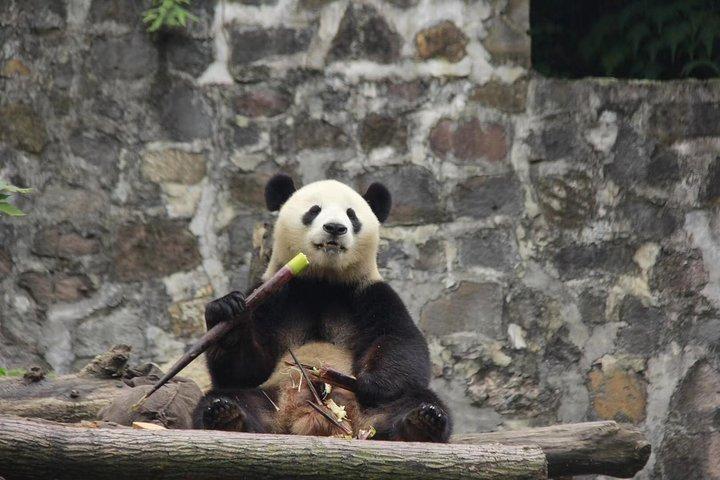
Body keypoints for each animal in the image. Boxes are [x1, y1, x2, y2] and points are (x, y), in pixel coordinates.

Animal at [193, 174, 452, 442]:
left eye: (352, 215)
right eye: (314, 210)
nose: (335, 228)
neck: (322, 281)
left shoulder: (370, 294)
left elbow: (401, 344)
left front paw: (368, 382)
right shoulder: (272, 296)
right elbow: (244, 371)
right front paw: (226, 311)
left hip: (373, 411)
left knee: (413, 401)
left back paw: (421, 421)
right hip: (271, 395)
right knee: (234, 397)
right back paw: (226, 415)